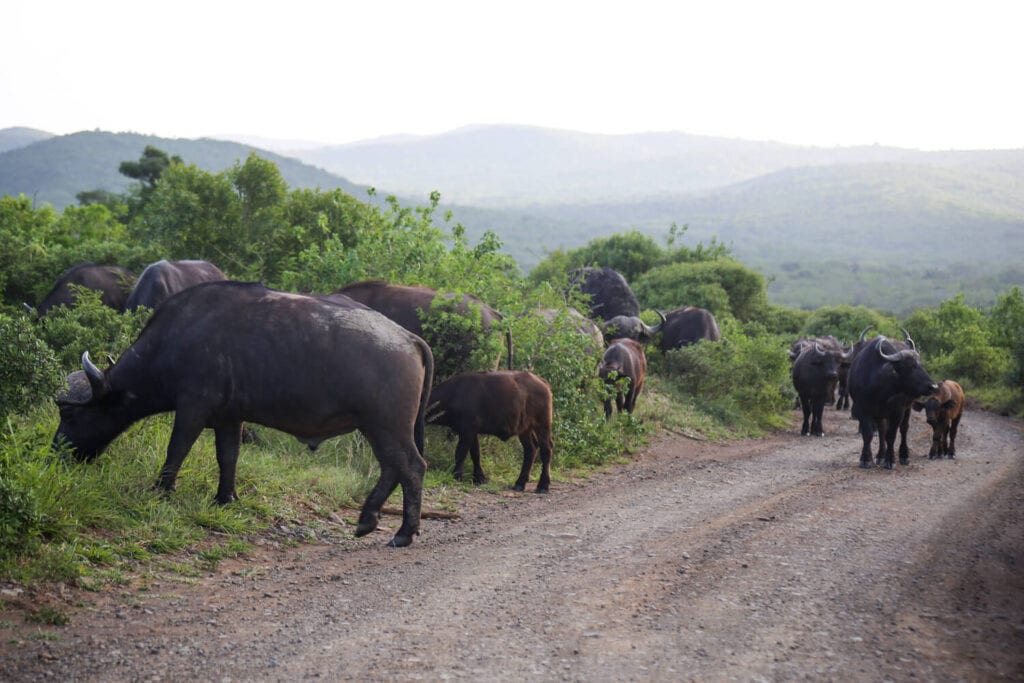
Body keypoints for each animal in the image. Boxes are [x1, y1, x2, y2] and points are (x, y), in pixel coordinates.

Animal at [51, 280, 432, 548]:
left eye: (68, 414)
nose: (57, 452)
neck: (173, 339)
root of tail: (408, 338)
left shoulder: (193, 407)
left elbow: (177, 450)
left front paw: (161, 490)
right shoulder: (229, 418)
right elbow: (228, 456)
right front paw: (225, 498)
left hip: (387, 426)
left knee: (411, 467)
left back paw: (403, 532)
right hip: (378, 428)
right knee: (392, 468)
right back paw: (367, 519)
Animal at [423, 374, 552, 491]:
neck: (454, 394)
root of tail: (543, 382)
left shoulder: (467, 430)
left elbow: (460, 452)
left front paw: (457, 475)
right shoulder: (472, 432)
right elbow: (475, 454)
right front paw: (479, 478)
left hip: (542, 425)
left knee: (546, 450)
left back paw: (543, 485)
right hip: (525, 428)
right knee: (531, 449)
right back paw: (520, 483)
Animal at [843, 331, 937, 471]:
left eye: (922, 365)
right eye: (910, 366)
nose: (933, 386)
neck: (879, 388)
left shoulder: (897, 410)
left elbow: (891, 435)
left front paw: (890, 460)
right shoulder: (862, 409)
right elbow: (868, 434)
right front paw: (866, 459)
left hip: (907, 408)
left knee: (903, 429)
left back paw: (903, 456)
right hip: (880, 414)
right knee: (882, 430)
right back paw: (880, 455)